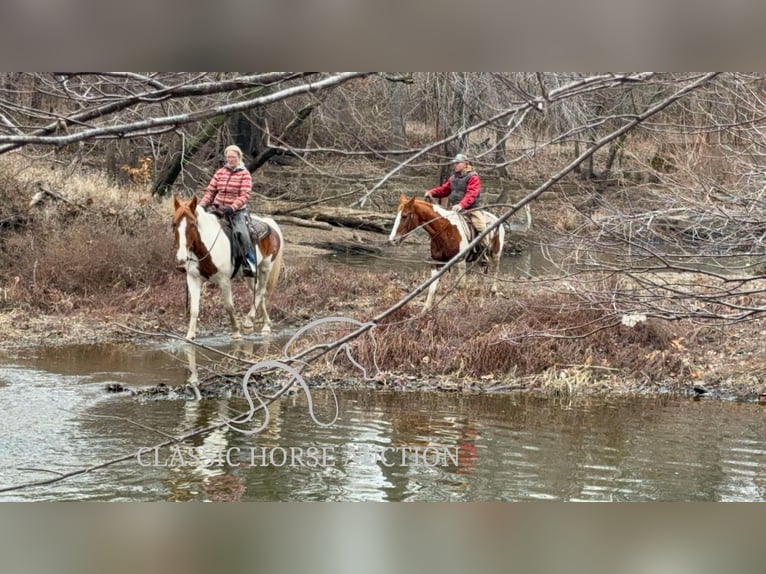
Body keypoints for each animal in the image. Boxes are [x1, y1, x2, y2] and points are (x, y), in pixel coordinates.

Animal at [171, 198, 284, 342]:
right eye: (174, 224)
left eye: (192, 224)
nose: (181, 258)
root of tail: (269, 223)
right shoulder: (193, 279)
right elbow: (194, 309)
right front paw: (190, 335)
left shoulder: (224, 280)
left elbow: (229, 306)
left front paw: (236, 332)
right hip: (250, 275)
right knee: (258, 292)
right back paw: (266, 326)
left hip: (265, 268)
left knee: (260, 291)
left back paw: (249, 322)